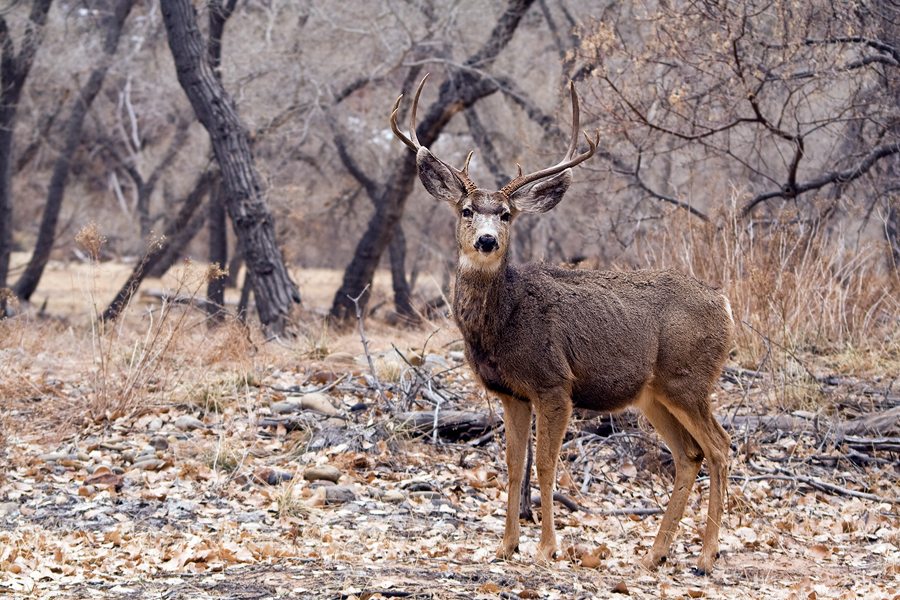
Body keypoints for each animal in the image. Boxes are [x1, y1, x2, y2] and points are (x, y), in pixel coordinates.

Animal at [394, 77, 732, 576]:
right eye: (467, 210)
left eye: (507, 214)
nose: (487, 241)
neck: (503, 324)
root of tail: (725, 303)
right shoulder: (511, 393)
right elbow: (513, 465)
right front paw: (506, 546)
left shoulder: (554, 383)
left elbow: (546, 466)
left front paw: (546, 548)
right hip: (653, 394)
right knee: (688, 455)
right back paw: (655, 554)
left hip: (689, 378)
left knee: (720, 446)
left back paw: (706, 558)